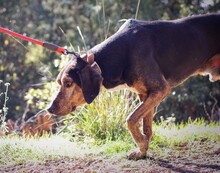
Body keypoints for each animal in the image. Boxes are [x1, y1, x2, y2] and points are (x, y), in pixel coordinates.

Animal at [47, 13, 219, 159]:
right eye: (59, 83)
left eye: (68, 83)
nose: (49, 109)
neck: (121, 54)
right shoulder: (145, 94)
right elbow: (146, 127)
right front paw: (143, 150)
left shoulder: (160, 89)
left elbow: (130, 119)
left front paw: (142, 143)